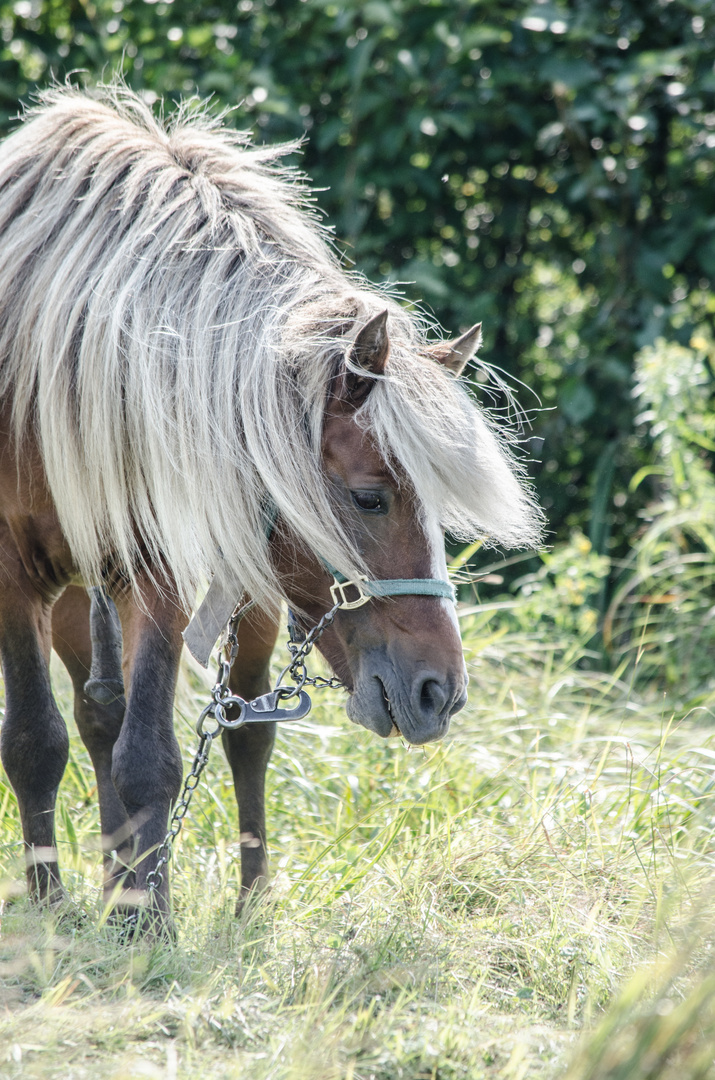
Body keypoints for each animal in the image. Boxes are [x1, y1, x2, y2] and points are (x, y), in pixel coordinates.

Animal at [0, 84, 544, 928]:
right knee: (95, 721)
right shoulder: (12, 575)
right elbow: (36, 740)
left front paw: (146, 917)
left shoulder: (158, 571)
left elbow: (149, 755)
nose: (440, 693)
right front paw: (56, 907)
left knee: (242, 731)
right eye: (369, 498)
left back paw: (239, 900)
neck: (61, 376)